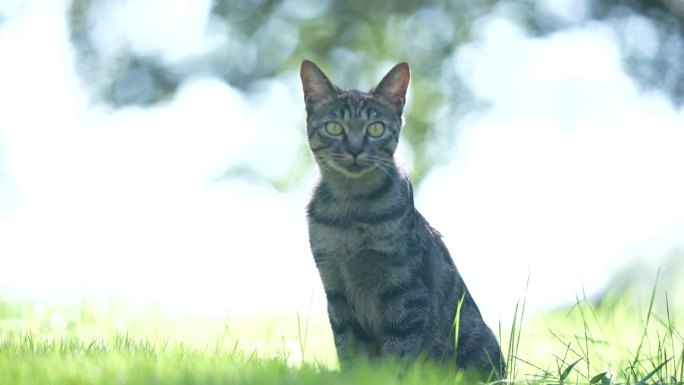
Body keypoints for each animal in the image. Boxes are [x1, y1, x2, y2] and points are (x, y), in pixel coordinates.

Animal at [302, 58, 504, 376]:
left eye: (375, 129)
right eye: (334, 127)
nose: (355, 149)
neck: (352, 210)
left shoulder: (404, 289)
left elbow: (399, 349)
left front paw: (390, 377)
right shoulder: (335, 289)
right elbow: (348, 346)